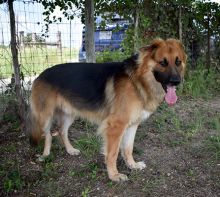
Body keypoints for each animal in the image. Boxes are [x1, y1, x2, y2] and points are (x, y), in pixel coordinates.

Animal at [30, 38, 186, 182]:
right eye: (163, 62)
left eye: (178, 62)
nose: (176, 81)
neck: (137, 80)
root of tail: (40, 75)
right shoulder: (116, 126)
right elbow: (113, 153)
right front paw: (114, 175)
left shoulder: (132, 125)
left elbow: (128, 148)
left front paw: (132, 165)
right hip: (45, 117)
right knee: (48, 135)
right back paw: (45, 155)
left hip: (70, 114)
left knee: (62, 131)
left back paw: (70, 150)